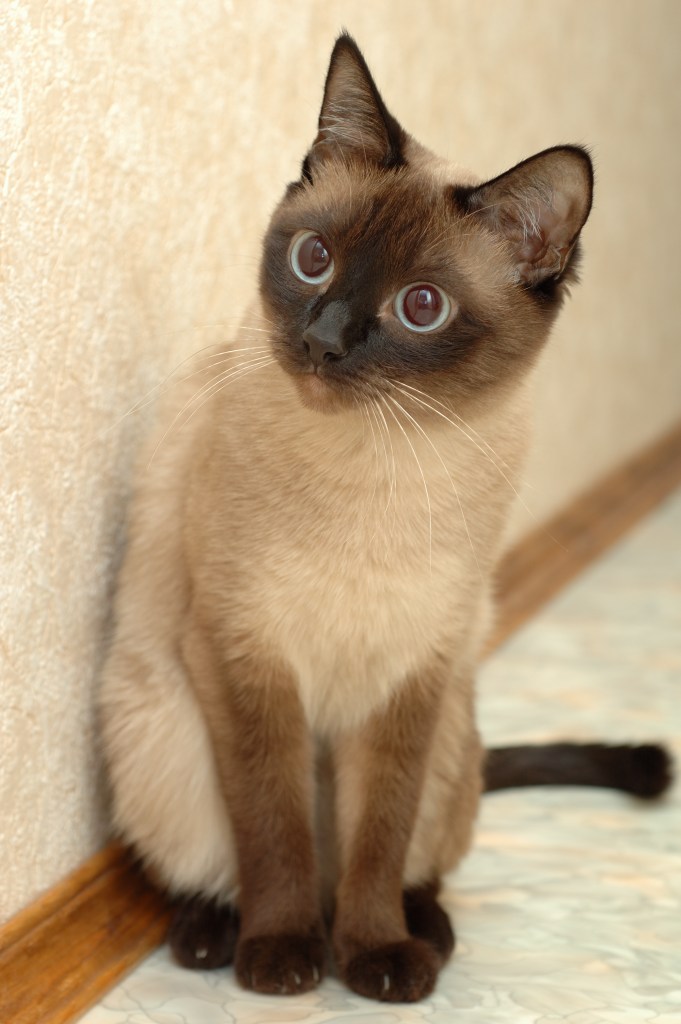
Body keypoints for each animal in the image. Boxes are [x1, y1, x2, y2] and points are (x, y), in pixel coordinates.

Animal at [98, 36, 671, 1003]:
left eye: (420, 307)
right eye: (313, 258)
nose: (323, 340)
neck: (379, 467)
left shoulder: (412, 670)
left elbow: (377, 840)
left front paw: (372, 959)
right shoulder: (246, 657)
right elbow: (275, 830)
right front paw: (284, 958)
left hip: (450, 738)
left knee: (415, 864)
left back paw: (421, 937)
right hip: (163, 739)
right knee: (218, 865)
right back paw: (219, 936)